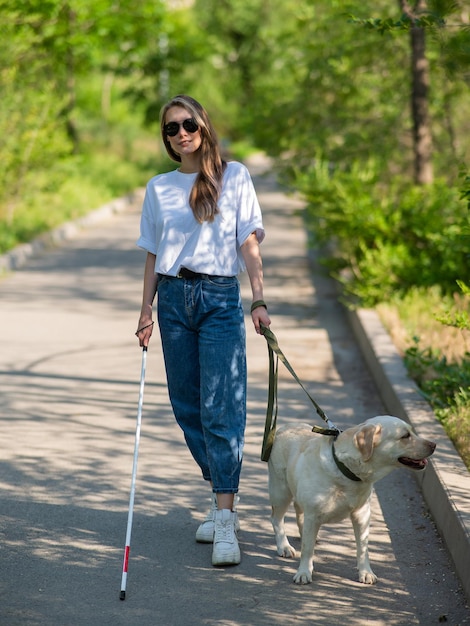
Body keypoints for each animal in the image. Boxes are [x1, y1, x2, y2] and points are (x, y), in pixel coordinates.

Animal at [268, 416, 436, 584]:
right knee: (277, 519)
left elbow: (363, 548)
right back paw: (284, 546)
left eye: (412, 431)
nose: (434, 445)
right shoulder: (313, 514)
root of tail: (285, 427)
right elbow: (307, 549)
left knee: (300, 514)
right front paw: (304, 572)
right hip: (281, 493)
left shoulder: (362, 515)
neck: (346, 469)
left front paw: (366, 572)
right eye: (405, 436)